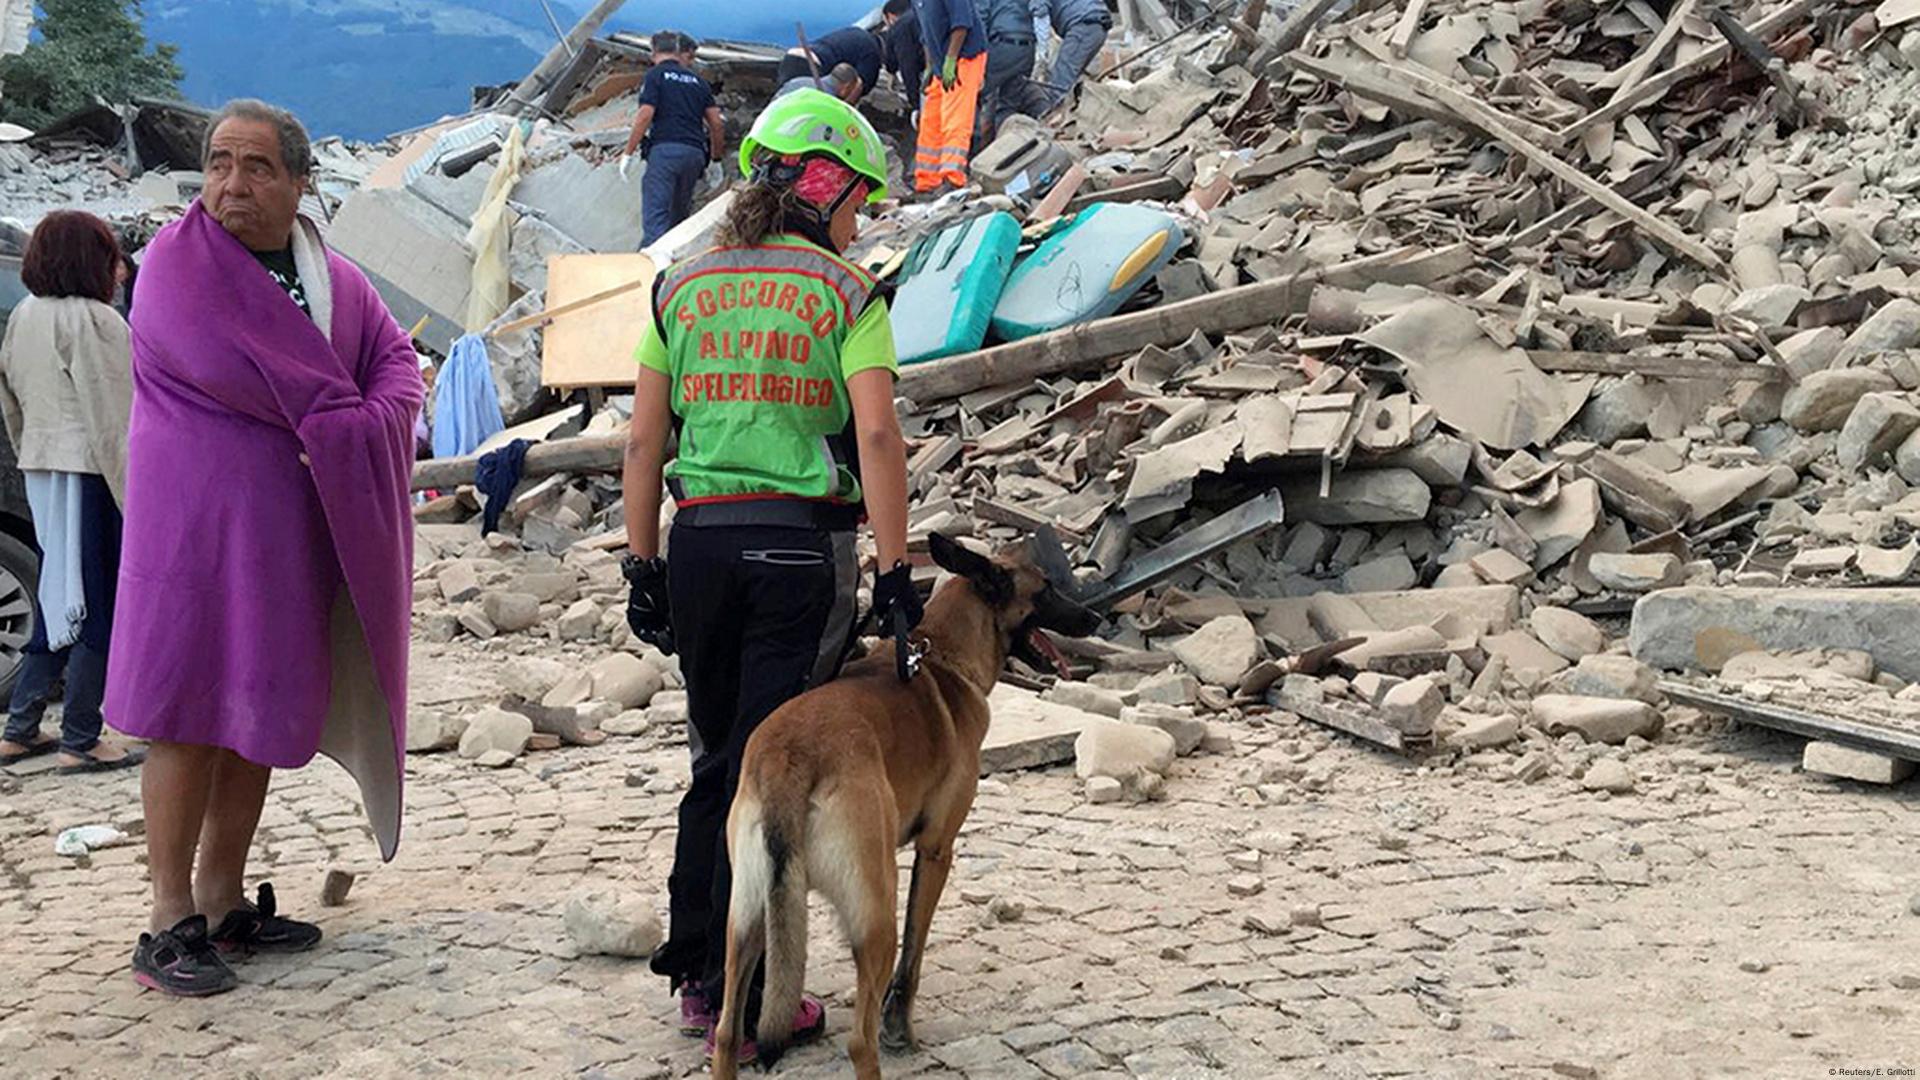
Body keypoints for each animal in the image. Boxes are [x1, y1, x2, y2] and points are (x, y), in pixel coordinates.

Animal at [710, 534, 1105, 1068]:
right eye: (1044, 590)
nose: (1095, 618)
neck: (941, 655)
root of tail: (787, 760)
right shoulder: (936, 850)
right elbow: (914, 953)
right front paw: (899, 1026)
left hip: (747, 921)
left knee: (727, 1032)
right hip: (876, 913)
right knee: (860, 1039)